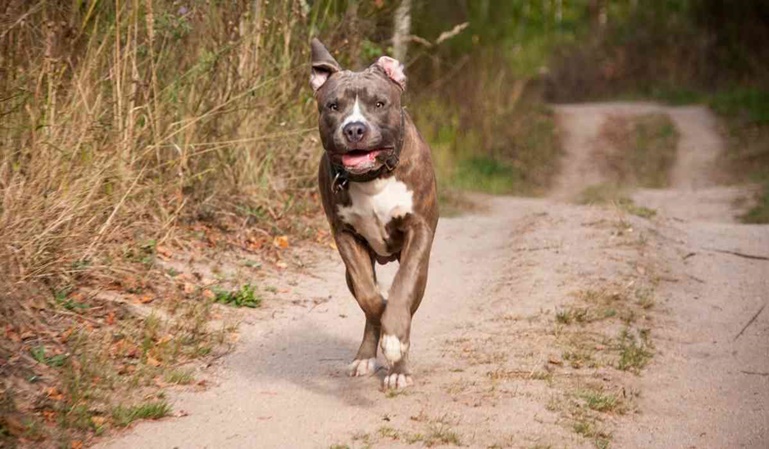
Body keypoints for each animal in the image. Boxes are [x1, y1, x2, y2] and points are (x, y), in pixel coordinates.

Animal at [308, 39, 438, 388]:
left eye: (379, 103)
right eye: (333, 106)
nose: (354, 128)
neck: (373, 178)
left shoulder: (418, 230)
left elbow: (402, 291)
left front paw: (395, 344)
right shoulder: (345, 236)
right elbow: (370, 298)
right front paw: (382, 318)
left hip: (422, 270)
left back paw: (398, 368)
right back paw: (367, 356)